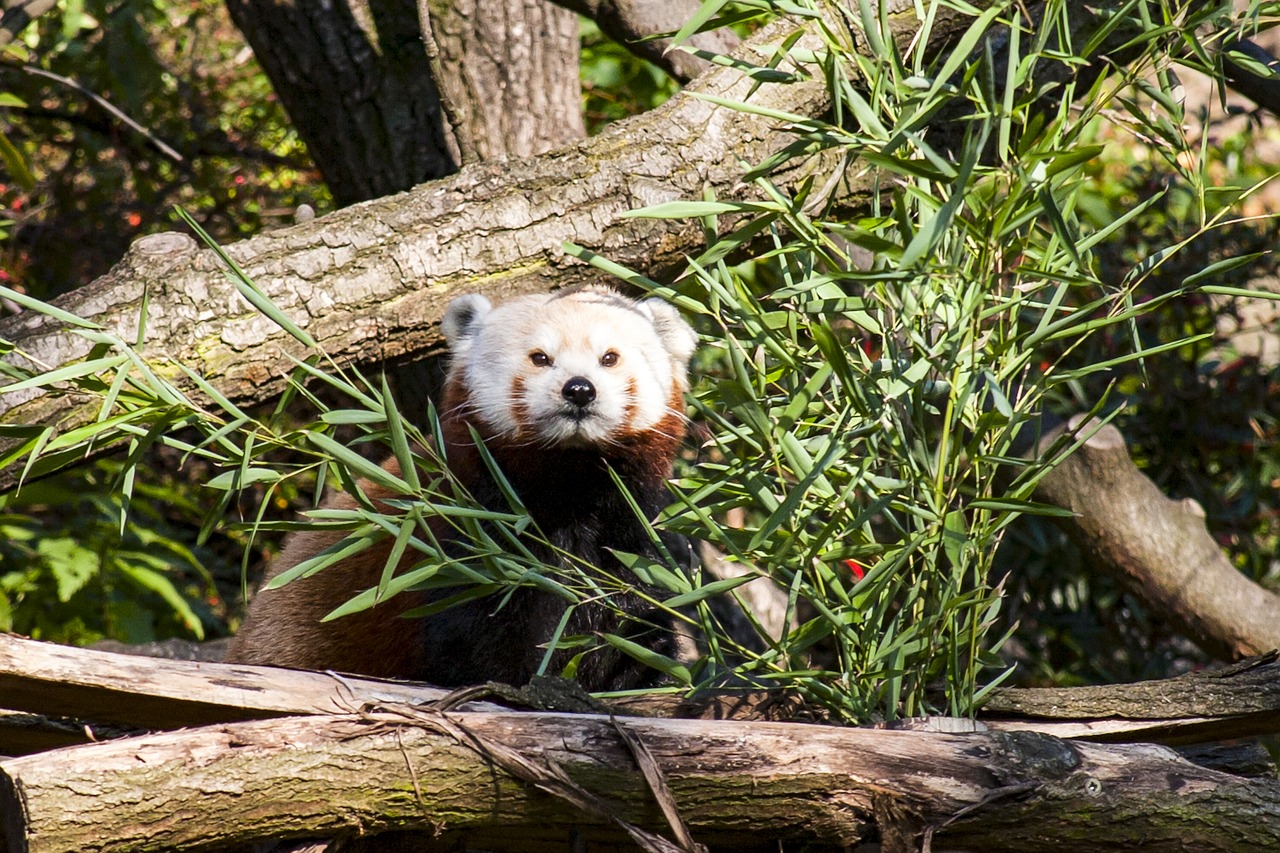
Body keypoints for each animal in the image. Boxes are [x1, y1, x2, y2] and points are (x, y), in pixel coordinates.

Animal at [225, 285, 696, 691]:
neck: (569, 484)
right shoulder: (462, 541)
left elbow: (633, 619)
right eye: (540, 358)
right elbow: (479, 639)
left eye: (609, 358)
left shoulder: (627, 534)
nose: (579, 389)